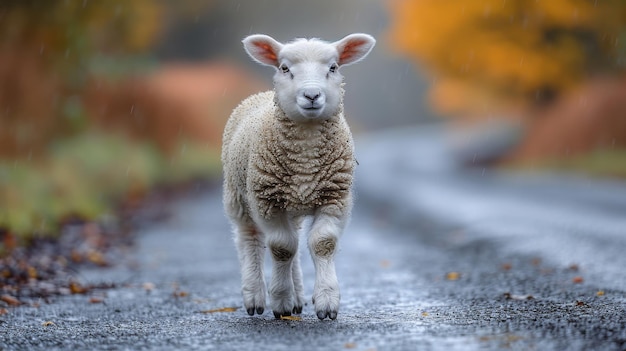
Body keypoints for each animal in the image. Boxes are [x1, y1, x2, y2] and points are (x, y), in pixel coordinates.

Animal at [222, 33, 372, 322]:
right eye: (284, 68)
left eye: (333, 67)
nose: (311, 95)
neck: (305, 155)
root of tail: (261, 94)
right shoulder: (266, 201)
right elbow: (281, 247)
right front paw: (280, 300)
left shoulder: (335, 198)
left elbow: (322, 243)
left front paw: (326, 301)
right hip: (238, 196)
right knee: (250, 240)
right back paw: (255, 296)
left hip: (291, 206)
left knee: (294, 243)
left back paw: (297, 297)